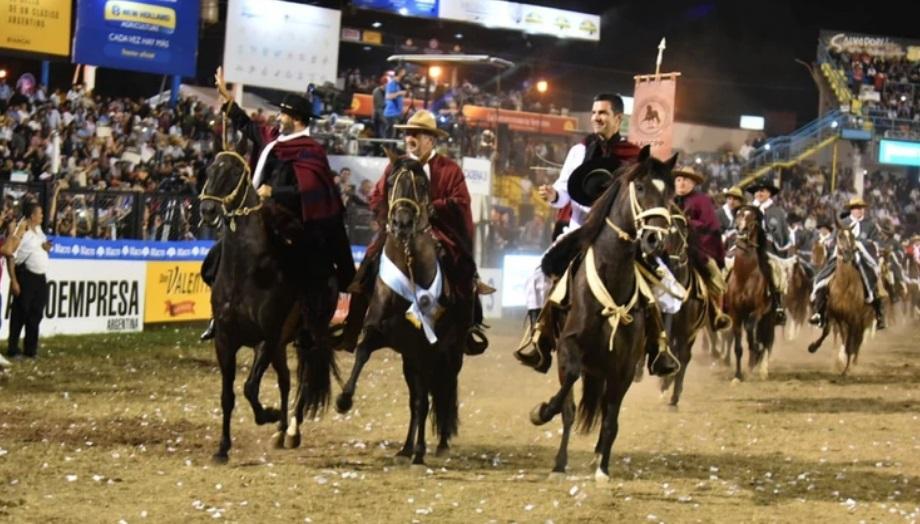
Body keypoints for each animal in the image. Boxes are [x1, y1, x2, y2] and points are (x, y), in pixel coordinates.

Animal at [198, 145, 338, 460]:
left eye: (234, 172)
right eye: (210, 169)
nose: (208, 210)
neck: (246, 271)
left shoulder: (267, 337)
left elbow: (250, 387)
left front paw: (269, 415)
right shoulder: (225, 340)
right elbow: (228, 396)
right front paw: (222, 448)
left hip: (303, 340)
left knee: (303, 380)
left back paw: (292, 430)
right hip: (282, 346)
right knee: (285, 380)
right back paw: (280, 432)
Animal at [334, 154, 468, 464]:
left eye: (422, 184)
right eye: (392, 182)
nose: (402, 222)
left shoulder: (429, 348)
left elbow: (426, 399)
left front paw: (421, 450)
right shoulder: (378, 331)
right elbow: (362, 353)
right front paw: (344, 399)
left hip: (450, 355)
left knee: (442, 391)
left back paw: (438, 443)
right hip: (410, 359)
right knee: (416, 398)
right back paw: (406, 447)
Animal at [528, 145, 680, 482]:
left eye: (671, 192)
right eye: (640, 187)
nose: (655, 240)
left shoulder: (624, 367)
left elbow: (611, 418)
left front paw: (602, 467)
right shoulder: (568, 349)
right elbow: (566, 401)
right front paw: (541, 415)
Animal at [724, 205, 776, 380]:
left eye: (752, 217)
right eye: (739, 214)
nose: (741, 229)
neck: (745, 275)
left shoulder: (759, 310)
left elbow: (751, 330)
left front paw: (756, 351)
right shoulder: (735, 314)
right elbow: (738, 347)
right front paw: (738, 375)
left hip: (768, 318)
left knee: (766, 340)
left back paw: (763, 369)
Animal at [808, 219, 872, 374]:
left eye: (853, 237)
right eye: (840, 236)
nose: (848, 254)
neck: (844, 286)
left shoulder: (854, 318)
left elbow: (850, 342)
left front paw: (846, 368)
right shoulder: (833, 314)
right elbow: (827, 331)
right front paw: (813, 347)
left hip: (862, 319)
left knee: (857, 339)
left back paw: (852, 361)